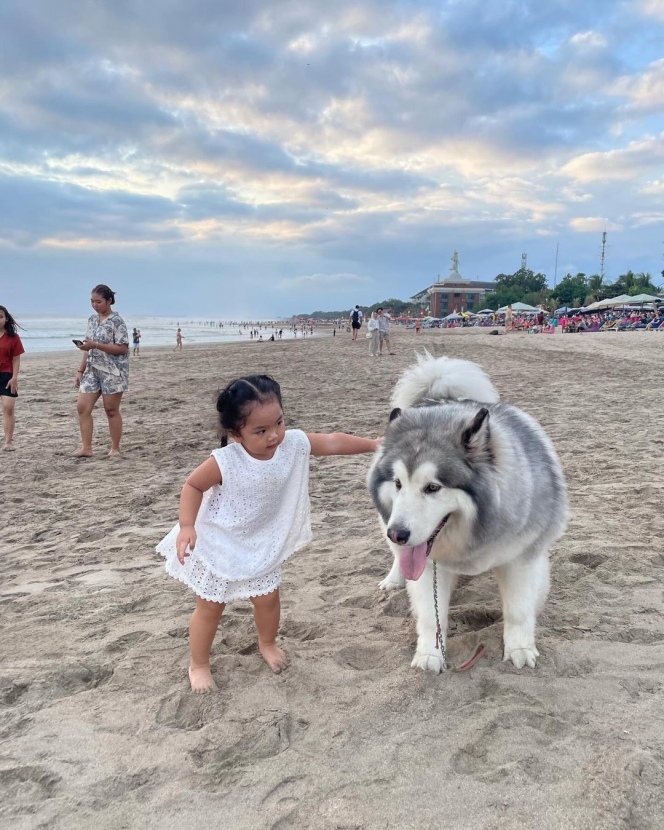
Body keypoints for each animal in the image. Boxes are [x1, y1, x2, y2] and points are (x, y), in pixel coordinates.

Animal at [368, 354, 564, 672]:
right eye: (398, 483)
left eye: (433, 487)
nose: (397, 534)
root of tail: (439, 397)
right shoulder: (427, 565)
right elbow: (430, 616)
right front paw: (430, 654)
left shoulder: (522, 557)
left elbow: (519, 610)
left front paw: (520, 648)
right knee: (399, 559)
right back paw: (394, 578)